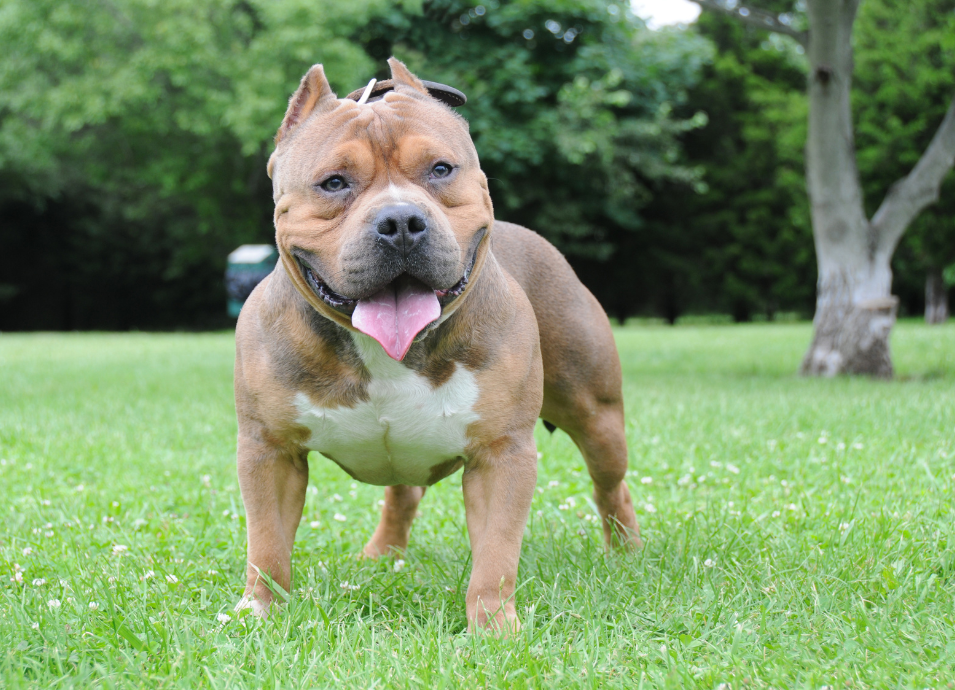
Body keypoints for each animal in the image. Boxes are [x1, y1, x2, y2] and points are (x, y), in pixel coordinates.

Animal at [232, 59, 644, 628]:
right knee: (403, 493)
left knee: (610, 483)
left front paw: (493, 626)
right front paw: (261, 610)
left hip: (597, 416)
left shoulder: (501, 454)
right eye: (333, 183)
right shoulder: (269, 451)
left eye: (441, 170)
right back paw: (382, 555)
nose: (401, 221)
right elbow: (267, 544)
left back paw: (627, 551)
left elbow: (495, 554)